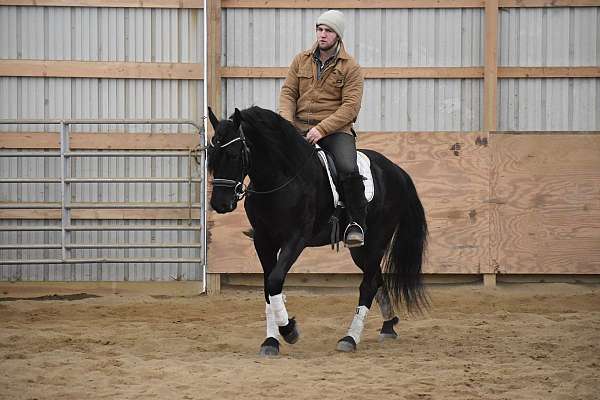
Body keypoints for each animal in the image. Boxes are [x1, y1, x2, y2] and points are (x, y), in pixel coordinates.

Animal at [209, 106, 428, 356]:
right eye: (211, 154)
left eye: (233, 154)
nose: (220, 204)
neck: (282, 178)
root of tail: (396, 170)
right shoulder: (263, 240)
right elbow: (267, 287)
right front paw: (271, 341)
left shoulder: (296, 239)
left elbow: (274, 280)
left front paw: (289, 331)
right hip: (360, 250)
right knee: (376, 278)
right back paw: (388, 326)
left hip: (376, 241)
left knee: (368, 284)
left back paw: (350, 338)